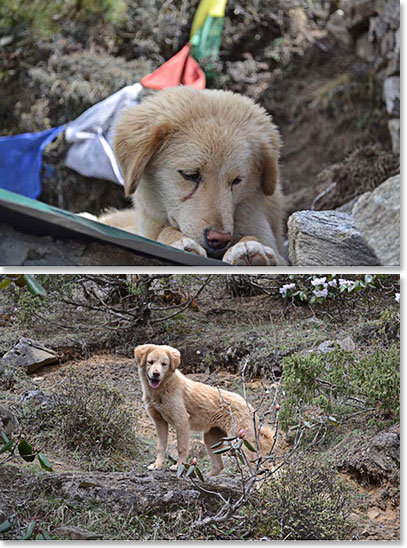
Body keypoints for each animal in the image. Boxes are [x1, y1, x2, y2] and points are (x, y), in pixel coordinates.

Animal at [136, 342, 274, 476]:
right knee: (219, 466)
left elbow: (181, 448)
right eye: (150, 362)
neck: (161, 390)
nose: (156, 374)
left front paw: (178, 467)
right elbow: (161, 446)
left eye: (164, 364)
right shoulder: (160, 422)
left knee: (257, 469)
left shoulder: (181, 421)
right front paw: (157, 465)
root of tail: (249, 406)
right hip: (210, 439)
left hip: (240, 440)